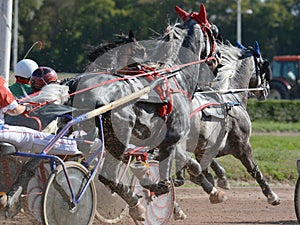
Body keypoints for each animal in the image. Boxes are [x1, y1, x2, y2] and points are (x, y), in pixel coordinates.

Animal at [176, 41, 282, 207]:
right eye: (263, 69)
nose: (266, 90)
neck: (231, 99)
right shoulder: (242, 146)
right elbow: (254, 169)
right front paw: (272, 195)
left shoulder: (205, 147)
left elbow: (206, 167)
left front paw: (218, 178)